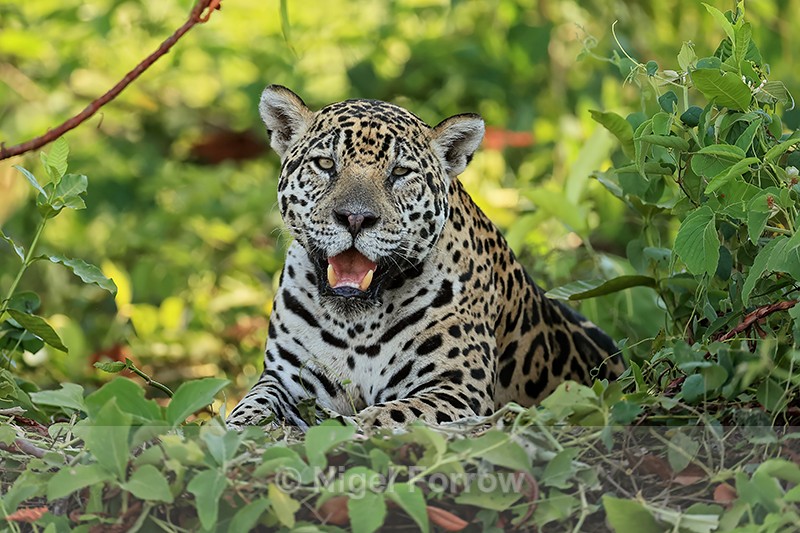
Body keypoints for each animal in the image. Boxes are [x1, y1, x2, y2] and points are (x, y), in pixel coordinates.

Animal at [226, 85, 623, 429]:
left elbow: (385, 416)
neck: (356, 325)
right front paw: (238, 426)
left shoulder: (455, 390)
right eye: (325, 164)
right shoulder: (287, 377)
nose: (354, 218)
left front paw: (343, 425)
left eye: (400, 172)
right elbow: (254, 404)